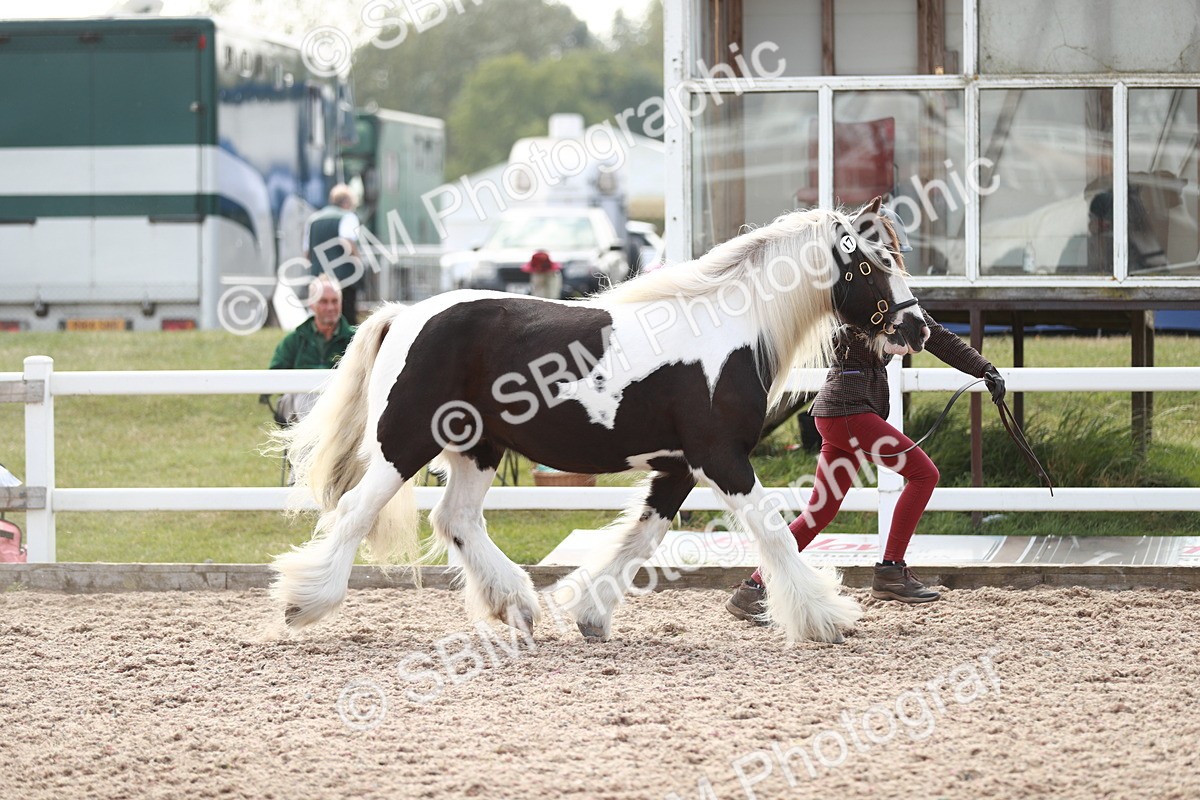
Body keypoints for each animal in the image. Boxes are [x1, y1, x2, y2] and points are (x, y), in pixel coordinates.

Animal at [270, 197, 930, 644]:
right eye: (872, 265)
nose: (917, 327)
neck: (727, 334)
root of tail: (404, 315)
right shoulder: (722, 459)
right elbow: (772, 531)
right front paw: (823, 617)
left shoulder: (678, 468)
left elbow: (641, 537)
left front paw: (589, 615)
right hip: (404, 442)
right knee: (355, 512)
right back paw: (304, 603)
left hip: (478, 449)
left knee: (454, 519)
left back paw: (518, 607)